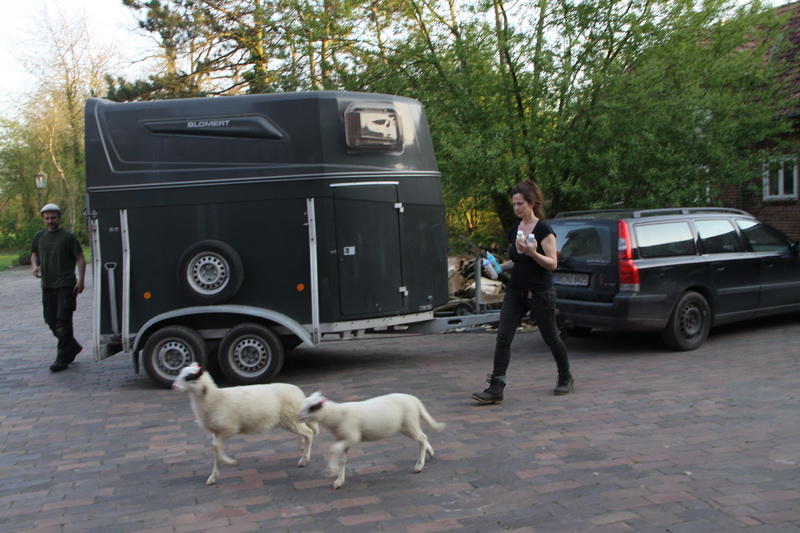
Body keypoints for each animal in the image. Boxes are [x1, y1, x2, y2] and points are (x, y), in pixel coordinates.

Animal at [172, 362, 318, 485]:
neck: (214, 399)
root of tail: (299, 393)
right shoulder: (216, 432)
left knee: (309, 433)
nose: (173, 386)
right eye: (180, 373)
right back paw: (301, 446)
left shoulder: (230, 429)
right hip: (293, 419)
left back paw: (304, 459)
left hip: (290, 419)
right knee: (305, 433)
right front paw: (213, 476)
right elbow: (215, 450)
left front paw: (230, 462)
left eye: (189, 377)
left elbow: (215, 447)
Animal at [297, 391, 446, 489]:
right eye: (302, 405)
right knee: (423, 437)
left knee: (422, 438)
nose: (298, 417)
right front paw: (339, 480)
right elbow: (343, 459)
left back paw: (419, 465)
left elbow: (334, 448)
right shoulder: (344, 439)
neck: (336, 415)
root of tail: (414, 399)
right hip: (407, 425)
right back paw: (430, 453)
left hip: (409, 423)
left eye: (311, 407)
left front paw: (331, 470)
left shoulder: (353, 436)